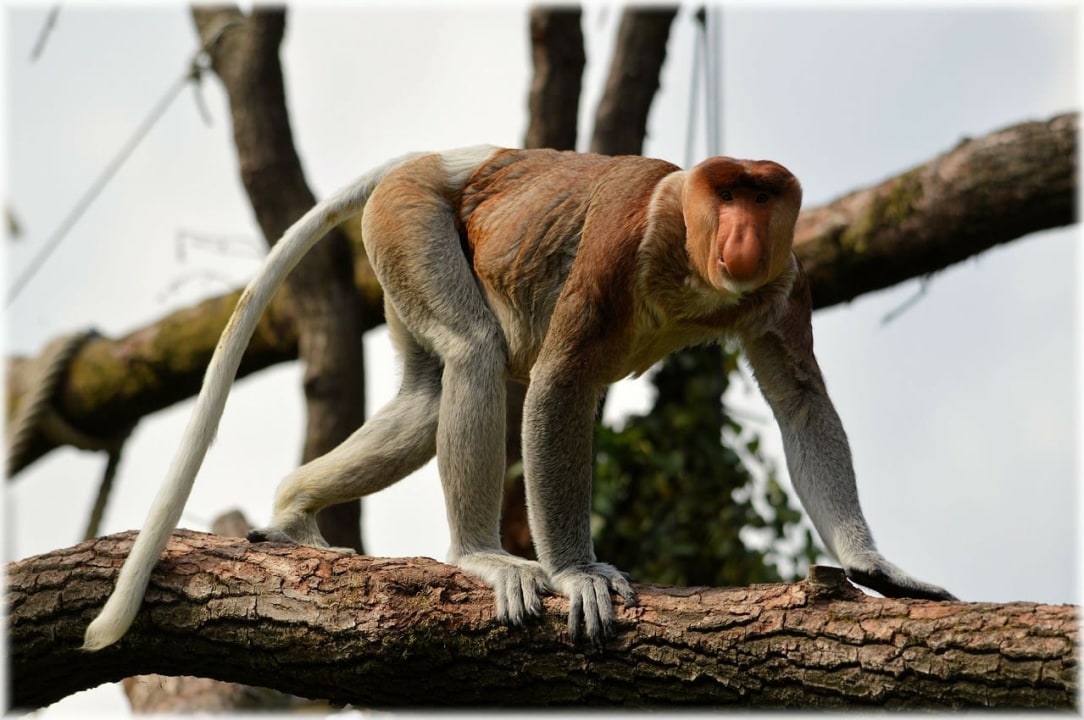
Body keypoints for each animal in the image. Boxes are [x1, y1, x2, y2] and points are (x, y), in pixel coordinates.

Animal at [83, 145, 955, 651]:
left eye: (762, 196)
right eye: (729, 194)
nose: (742, 232)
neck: (690, 252)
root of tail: (435, 155)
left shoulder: (782, 281)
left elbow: (801, 399)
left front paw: (876, 566)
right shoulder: (619, 239)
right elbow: (561, 382)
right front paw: (577, 575)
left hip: (399, 254)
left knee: (428, 397)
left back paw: (294, 510)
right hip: (410, 220)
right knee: (474, 356)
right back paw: (480, 556)